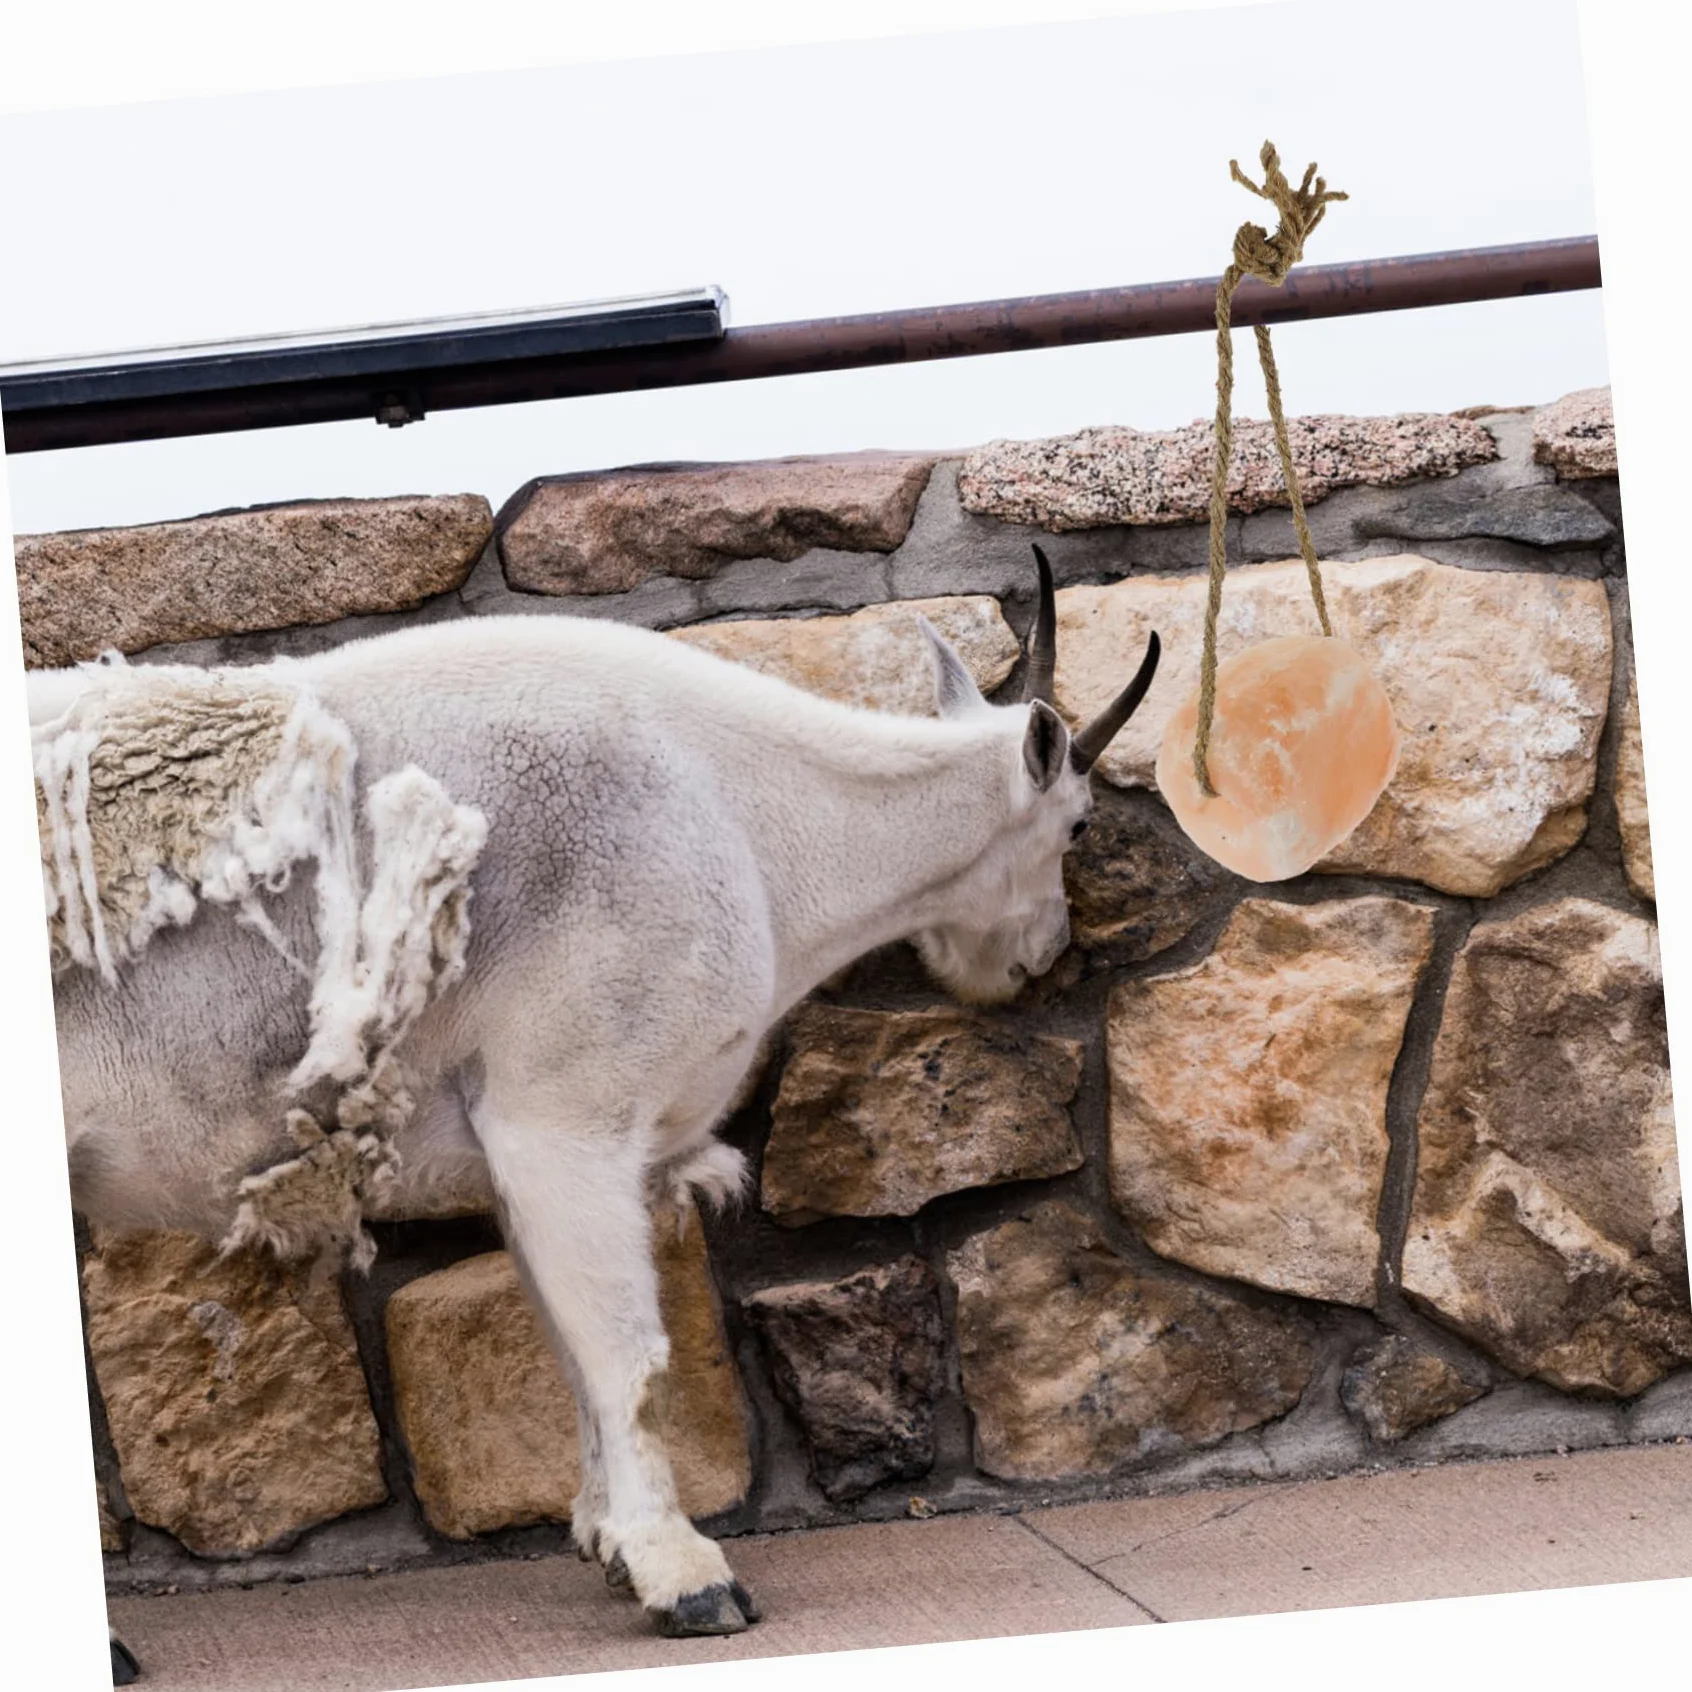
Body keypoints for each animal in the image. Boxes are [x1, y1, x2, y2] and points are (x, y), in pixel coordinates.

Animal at [34, 547, 1157, 1671]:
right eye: (1078, 825)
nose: (1040, 958)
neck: (755, 821)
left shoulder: (517, 1143)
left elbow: (569, 1348)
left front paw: (608, 1539)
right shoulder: (570, 1113)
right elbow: (627, 1355)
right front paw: (684, 1575)